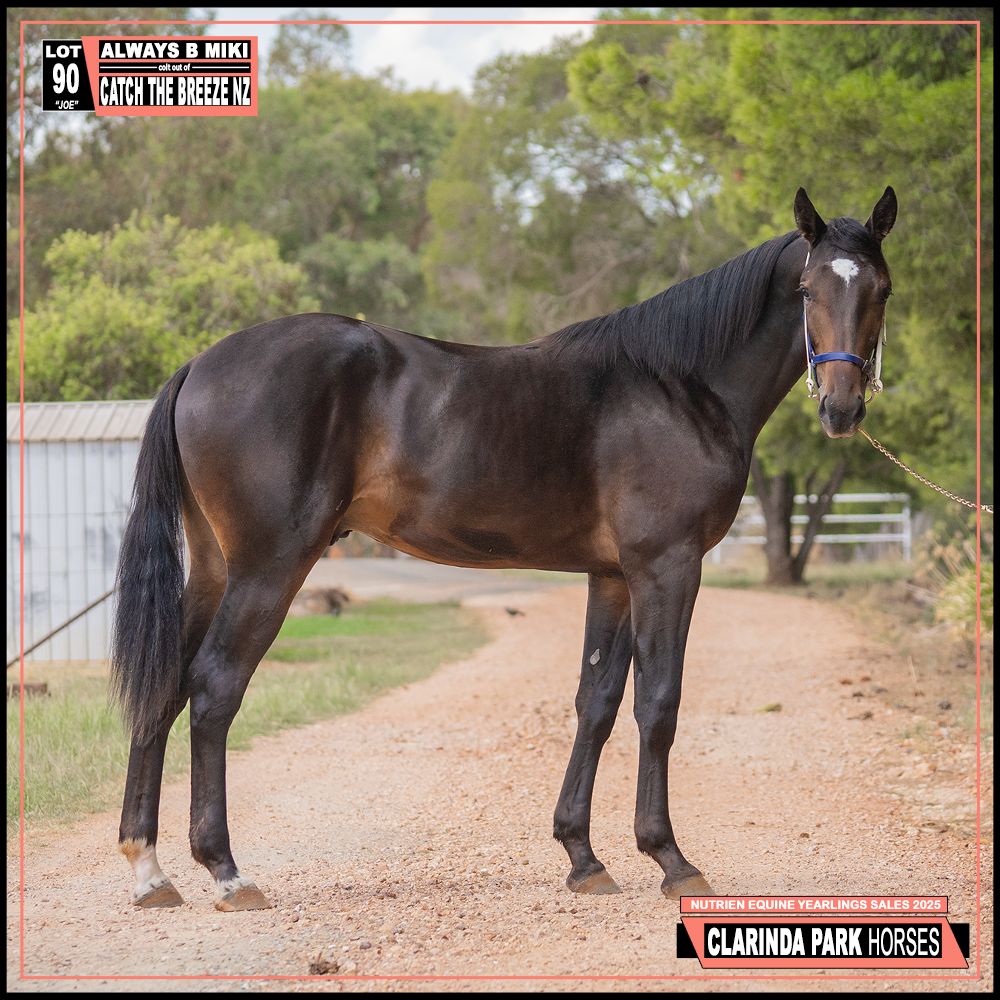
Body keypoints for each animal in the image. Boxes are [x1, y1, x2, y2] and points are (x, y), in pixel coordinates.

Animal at [112, 186, 897, 910]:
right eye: (807, 289)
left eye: (880, 290)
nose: (842, 407)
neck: (679, 385)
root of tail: (199, 365)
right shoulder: (666, 566)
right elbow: (659, 702)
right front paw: (670, 858)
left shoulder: (612, 575)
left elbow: (597, 702)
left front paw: (583, 857)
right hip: (270, 567)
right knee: (214, 688)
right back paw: (225, 869)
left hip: (215, 569)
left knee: (166, 687)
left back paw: (150, 870)